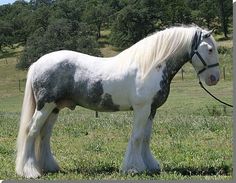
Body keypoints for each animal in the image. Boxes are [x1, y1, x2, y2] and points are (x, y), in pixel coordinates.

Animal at [16, 25, 219, 178]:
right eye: (210, 49)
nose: (214, 78)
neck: (151, 66)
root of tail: (37, 64)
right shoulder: (141, 109)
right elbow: (137, 137)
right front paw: (134, 168)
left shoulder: (151, 110)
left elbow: (146, 138)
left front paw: (150, 165)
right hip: (45, 106)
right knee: (31, 131)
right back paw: (30, 171)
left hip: (55, 108)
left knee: (44, 135)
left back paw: (48, 167)